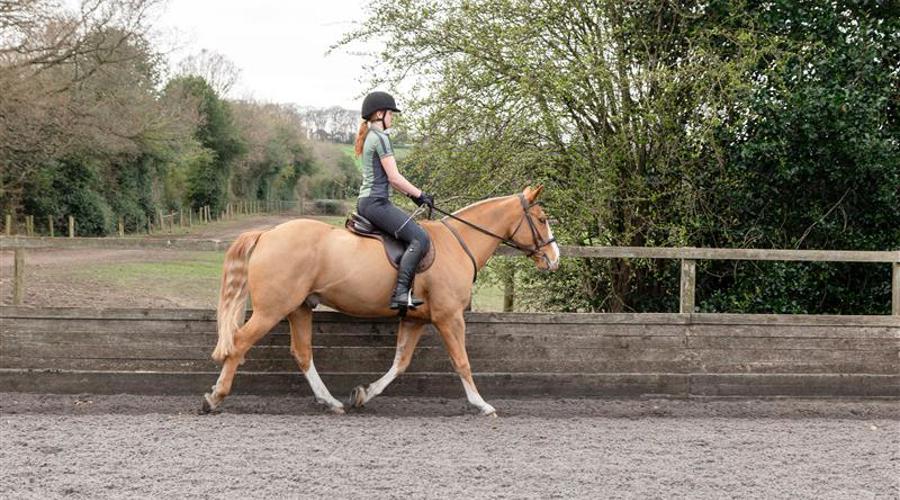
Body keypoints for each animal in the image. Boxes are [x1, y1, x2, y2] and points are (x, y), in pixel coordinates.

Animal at [201, 185, 560, 416]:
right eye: (542, 219)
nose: (554, 259)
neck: (459, 244)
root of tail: (267, 234)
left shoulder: (414, 320)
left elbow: (400, 363)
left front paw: (363, 395)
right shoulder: (449, 317)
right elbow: (461, 361)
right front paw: (482, 405)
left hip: (299, 307)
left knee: (302, 354)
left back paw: (332, 402)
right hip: (272, 309)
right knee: (240, 342)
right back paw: (215, 398)